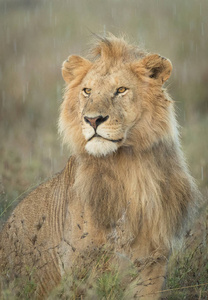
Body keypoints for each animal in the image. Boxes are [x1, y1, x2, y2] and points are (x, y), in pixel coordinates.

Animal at [0, 34, 199, 298]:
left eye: (121, 90)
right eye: (87, 91)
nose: (93, 119)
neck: (130, 168)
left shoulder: (152, 263)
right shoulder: (79, 266)